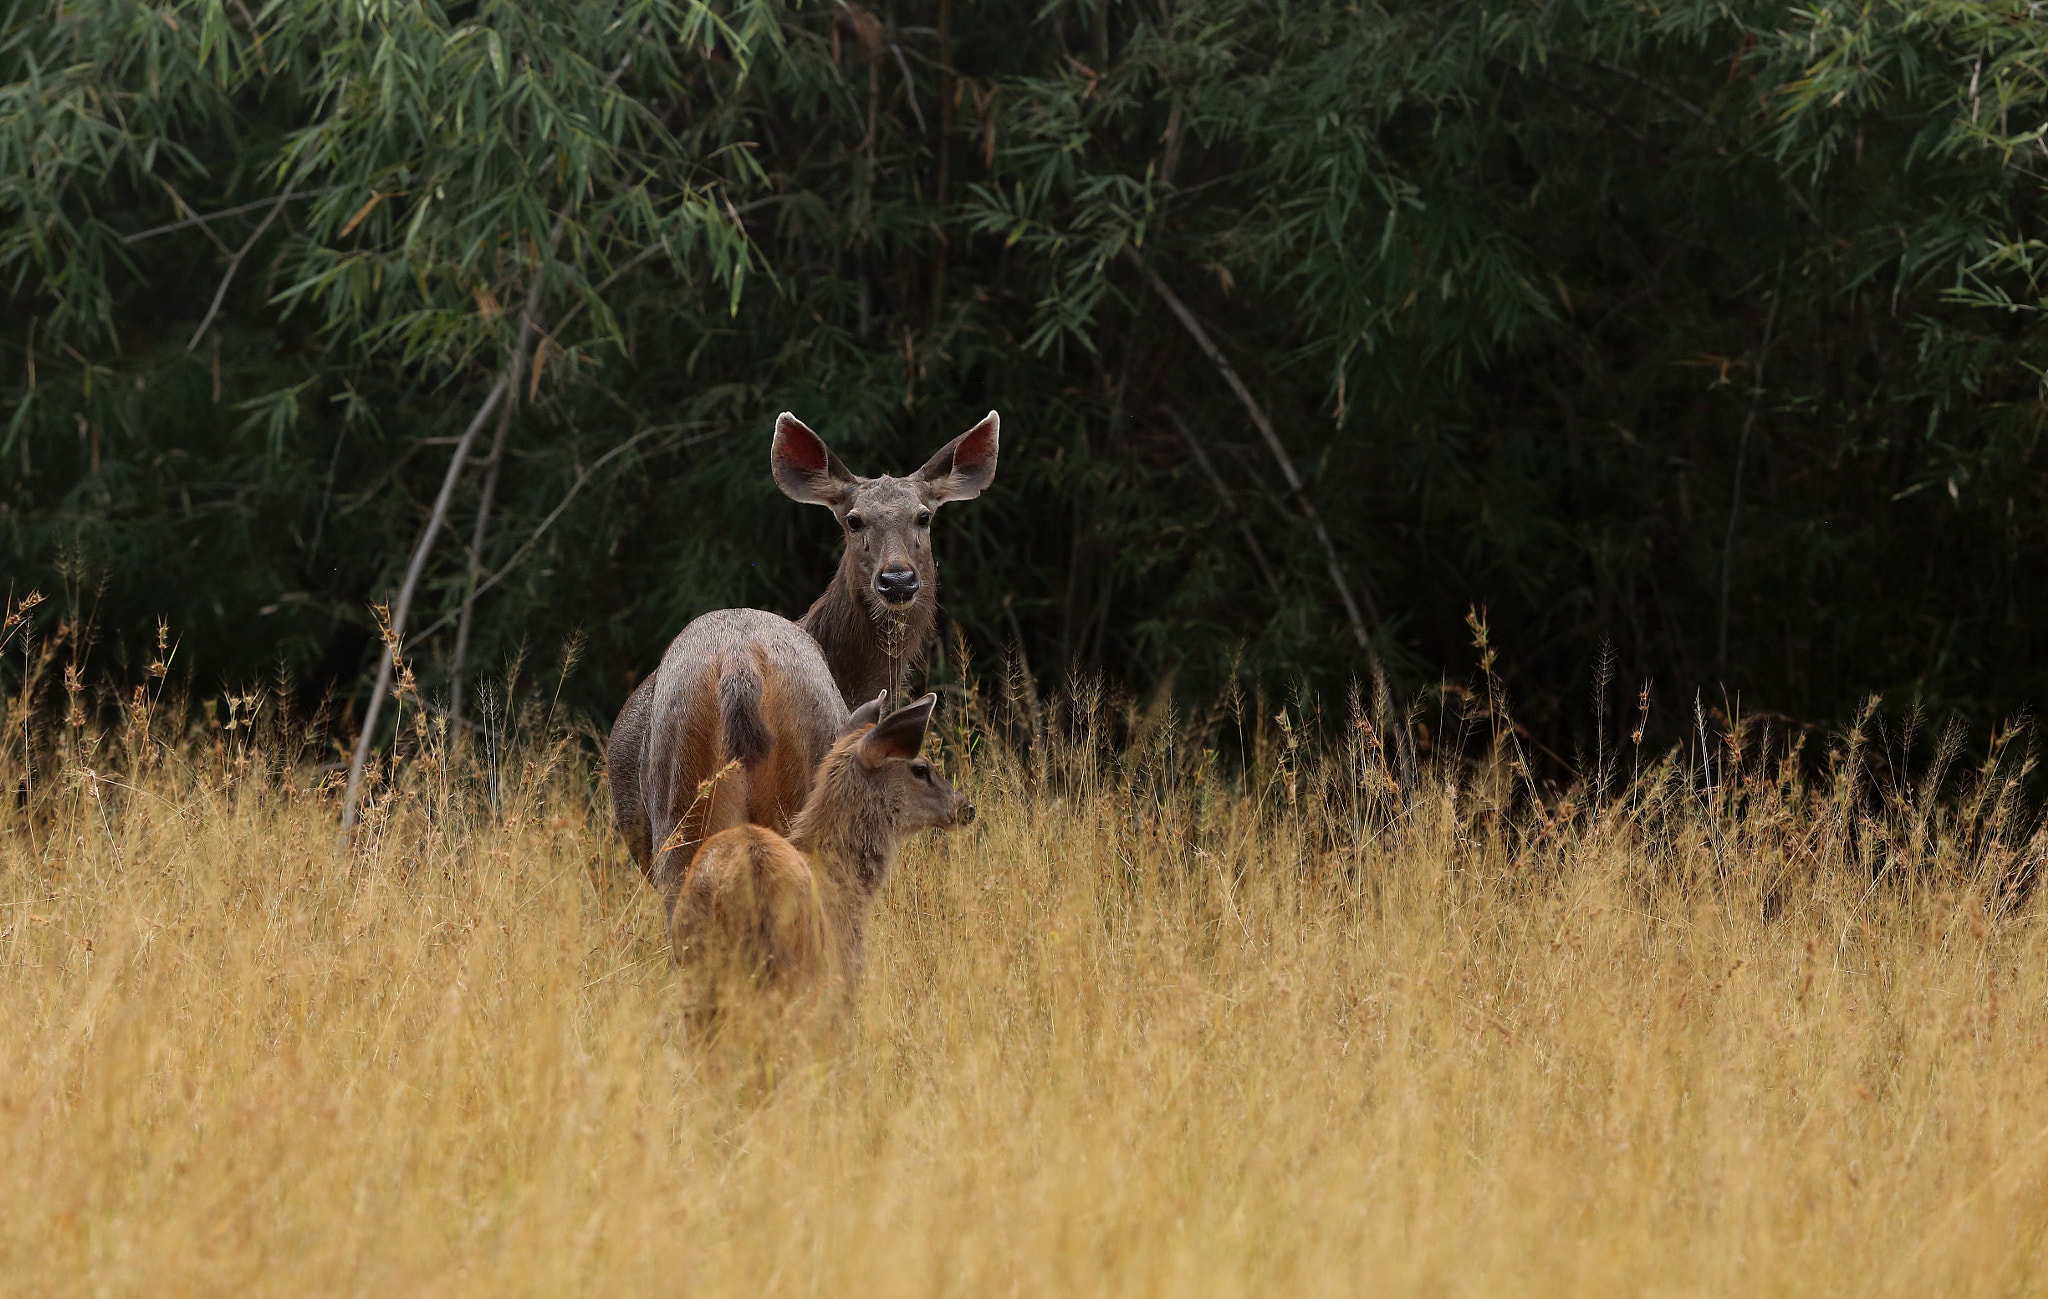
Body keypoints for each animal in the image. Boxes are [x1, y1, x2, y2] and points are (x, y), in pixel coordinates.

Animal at [602, 409, 995, 893]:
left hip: (679, 808)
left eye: (923, 517)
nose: (897, 580)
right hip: (795, 782)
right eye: (853, 520)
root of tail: (740, 664)